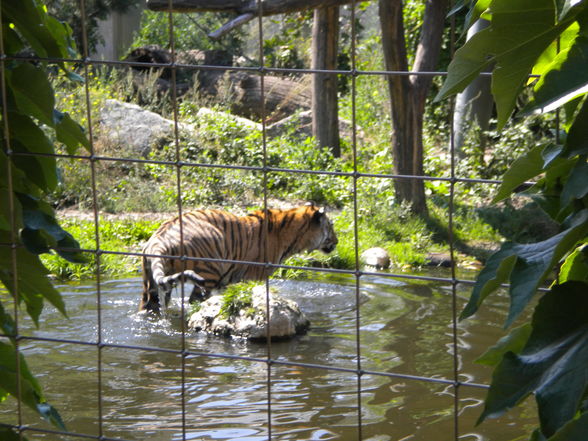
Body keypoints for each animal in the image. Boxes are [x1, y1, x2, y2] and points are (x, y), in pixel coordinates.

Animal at [140, 204, 338, 312]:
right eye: (331, 226)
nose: (337, 241)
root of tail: (158, 239)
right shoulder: (255, 276)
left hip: (150, 285)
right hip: (208, 273)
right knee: (195, 301)